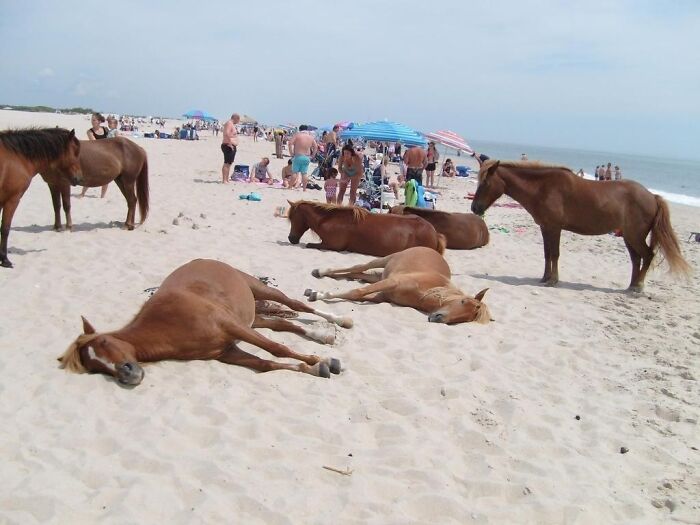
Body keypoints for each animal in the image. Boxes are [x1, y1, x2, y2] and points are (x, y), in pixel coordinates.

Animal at [0, 127, 82, 268]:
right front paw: (5, 260)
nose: (79, 178)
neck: (16, 157)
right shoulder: (12, 200)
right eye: (75, 152)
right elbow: (5, 229)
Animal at [58, 259, 352, 386]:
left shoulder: (230, 326)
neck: (168, 323)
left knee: (297, 306)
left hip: (259, 290)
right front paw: (315, 368)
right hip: (253, 320)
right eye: (94, 368)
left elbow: (276, 349)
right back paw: (322, 336)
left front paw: (320, 361)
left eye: (105, 341)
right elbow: (266, 364)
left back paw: (341, 321)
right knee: (284, 325)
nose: (128, 374)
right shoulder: (226, 352)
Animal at [287, 200, 446, 257]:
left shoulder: (330, 245)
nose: (291, 238)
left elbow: (309, 245)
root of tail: (434, 233)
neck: (330, 219)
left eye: (293, 217)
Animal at [304, 246, 491, 324]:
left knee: (357, 274)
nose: (438, 318)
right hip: (384, 260)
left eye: (467, 318)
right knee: (358, 267)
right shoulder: (391, 282)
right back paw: (320, 271)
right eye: (463, 301)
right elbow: (356, 292)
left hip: (380, 275)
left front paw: (317, 292)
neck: (424, 292)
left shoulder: (381, 295)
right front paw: (318, 295)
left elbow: (358, 294)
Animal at [470, 160, 691, 291]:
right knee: (637, 259)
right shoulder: (545, 228)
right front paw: (545, 277)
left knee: (648, 256)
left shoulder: (554, 228)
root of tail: (652, 196)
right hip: (629, 237)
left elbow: (555, 254)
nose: (474, 208)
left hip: (634, 236)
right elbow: (547, 253)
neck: (543, 187)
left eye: (485, 183)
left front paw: (553, 280)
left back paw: (638, 286)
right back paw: (631, 285)